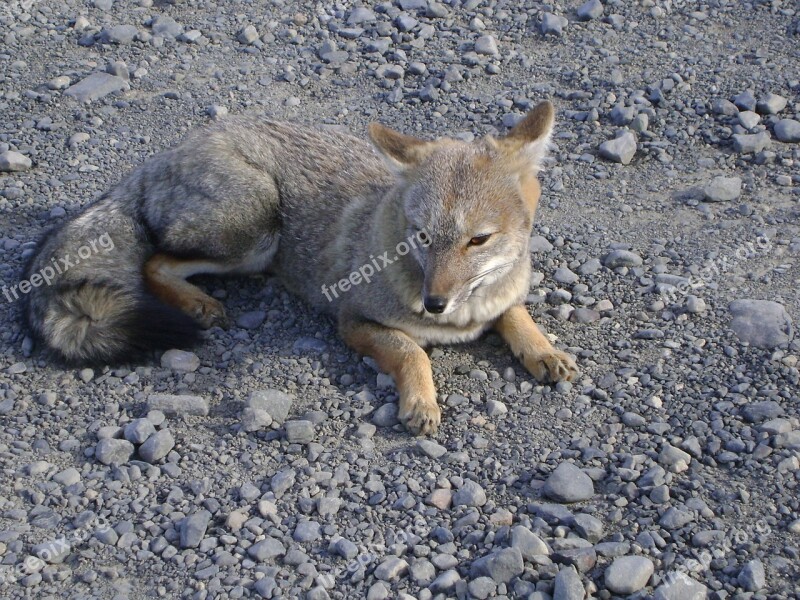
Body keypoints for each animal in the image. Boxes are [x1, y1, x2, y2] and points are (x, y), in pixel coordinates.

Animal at [23, 101, 576, 434]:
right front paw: (421, 401)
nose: (434, 303)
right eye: (422, 236)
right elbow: (411, 352)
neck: (464, 316)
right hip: (255, 226)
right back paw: (197, 303)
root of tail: (164, 155)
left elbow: (514, 312)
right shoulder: (353, 322)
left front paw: (543, 349)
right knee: (155, 261)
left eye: (477, 239)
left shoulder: (500, 296)